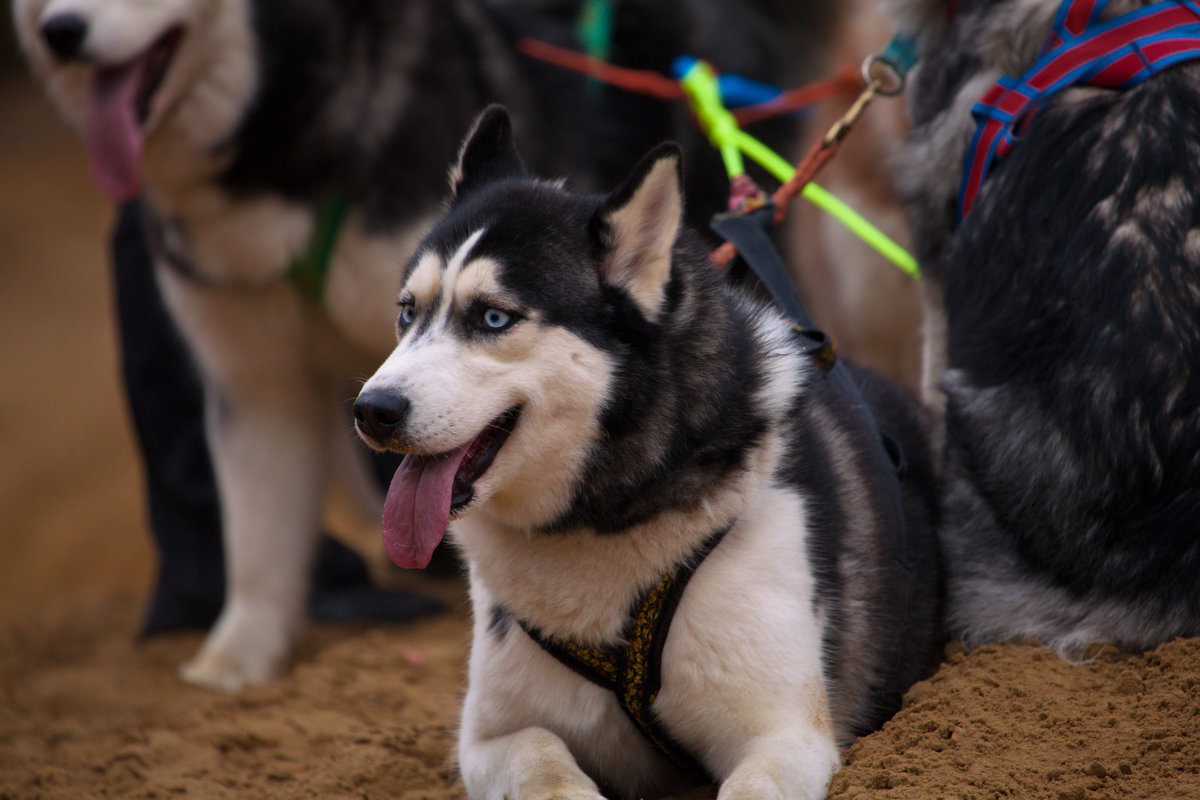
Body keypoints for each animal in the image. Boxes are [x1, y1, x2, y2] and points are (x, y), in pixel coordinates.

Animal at [355, 106, 945, 800]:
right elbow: (540, 758)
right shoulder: (490, 737)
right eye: (407, 312)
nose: (372, 410)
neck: (605, 520)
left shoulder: (789, 734)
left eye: (493, 318)